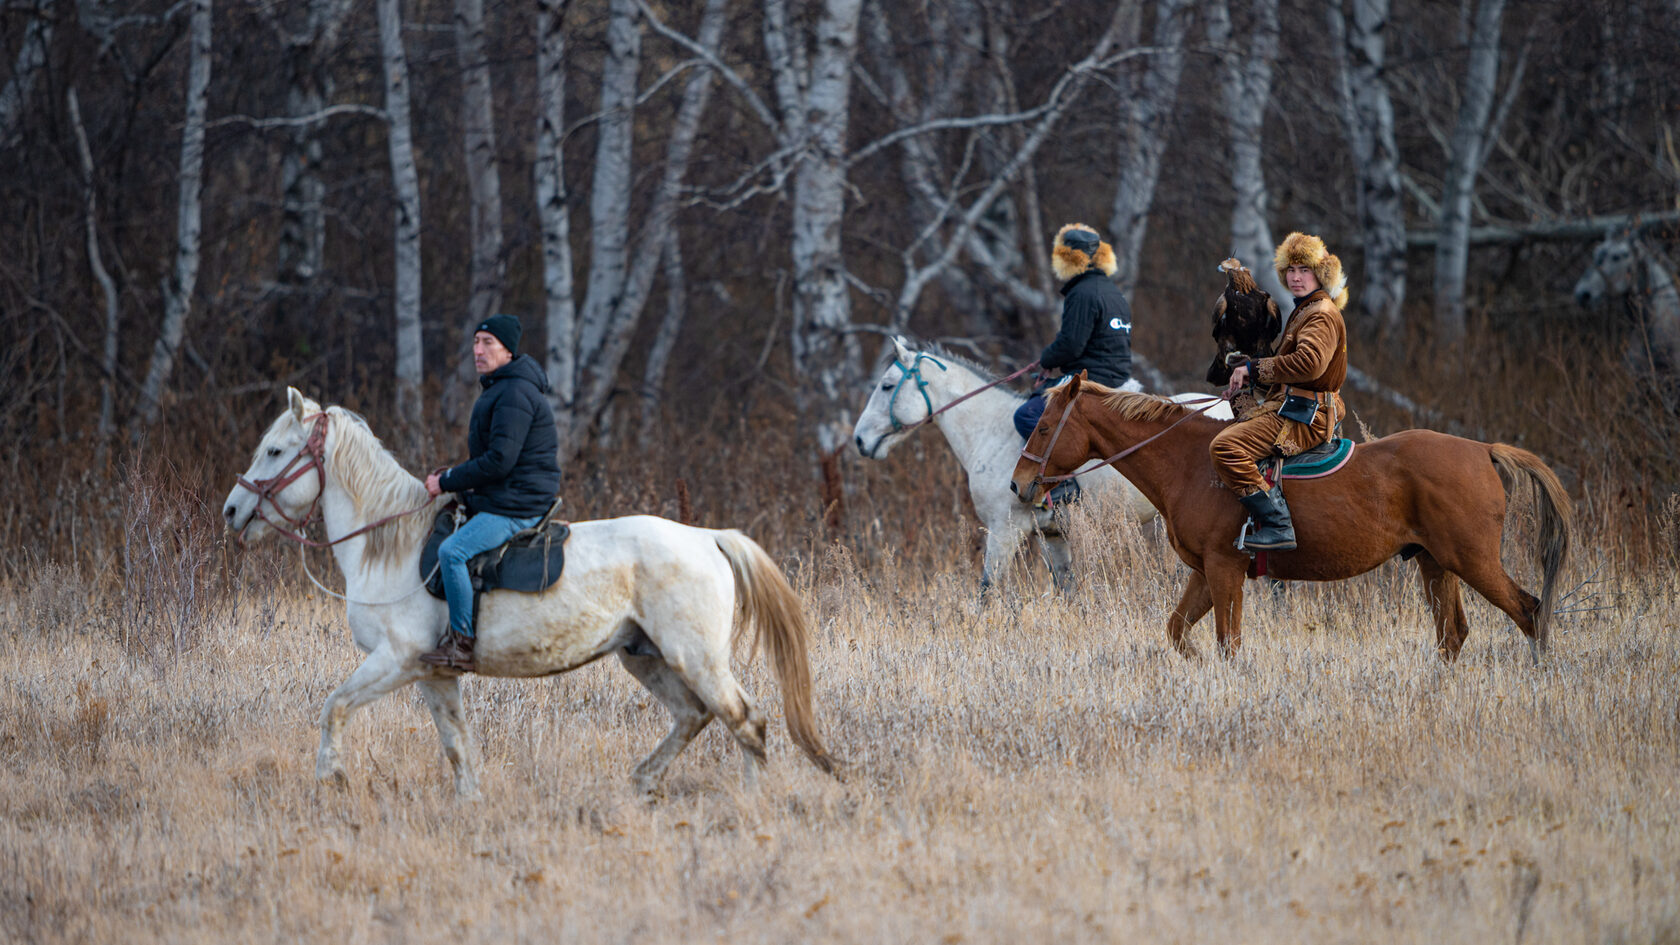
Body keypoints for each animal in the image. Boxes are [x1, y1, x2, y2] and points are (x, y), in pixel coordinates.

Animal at [220, 388, 836, 793]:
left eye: (275, 451)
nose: (232, 510)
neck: (389, 546)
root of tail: (708, 538)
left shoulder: (394, 660)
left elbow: (334, 707)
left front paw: (331, 781)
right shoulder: (433, 675)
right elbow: (457, 746)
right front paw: (469, 805)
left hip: (696, 656)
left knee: (745, 720)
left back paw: (752, 802)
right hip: (645, 656)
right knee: (694, 717)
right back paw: (641, 782)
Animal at [853, 336, 1236, 588]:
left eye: (886, 386)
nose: (859, 440)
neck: (990, 430)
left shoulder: (1004, 530)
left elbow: (987, 589)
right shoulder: (1052, 535)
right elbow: (1066, 588)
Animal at [1007, 371, 1572, 659]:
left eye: (1042, 428)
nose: (1018, 483)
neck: (1191, 463)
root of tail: (1483, 450)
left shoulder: (1225, 569)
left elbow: (1229, 644)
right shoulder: (1204, 573)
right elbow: (1177, 631)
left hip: (1473, 562)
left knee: (1529, 611)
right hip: (1437, 565)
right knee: (1453, 635)